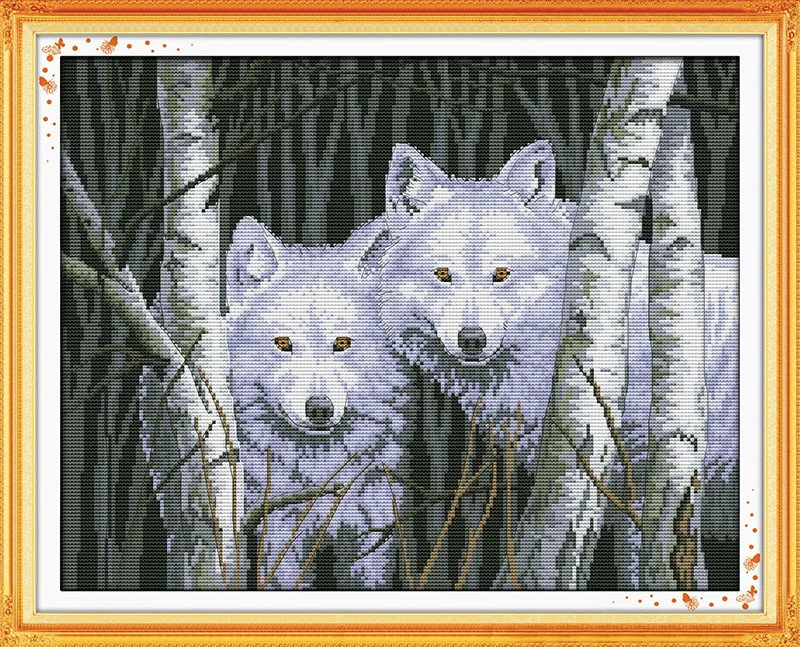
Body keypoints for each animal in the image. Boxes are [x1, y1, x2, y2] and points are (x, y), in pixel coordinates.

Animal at [226, 216, 409, 590]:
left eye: (341, 343)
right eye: (283, 343)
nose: (320, 408)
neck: (320, 469)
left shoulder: (373, 536)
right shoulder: (278, 536)